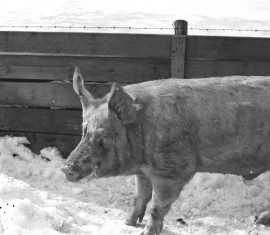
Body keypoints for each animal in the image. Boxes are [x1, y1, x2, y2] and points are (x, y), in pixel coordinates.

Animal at [61, 66, 270, 235]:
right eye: (84, 132)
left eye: (103, 136)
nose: (65, 168)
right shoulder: (143, 173)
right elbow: (139, 197)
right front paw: (128, 223)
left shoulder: (172, 171)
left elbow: (156, 206)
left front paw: (146, 232)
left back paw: (260, 220)